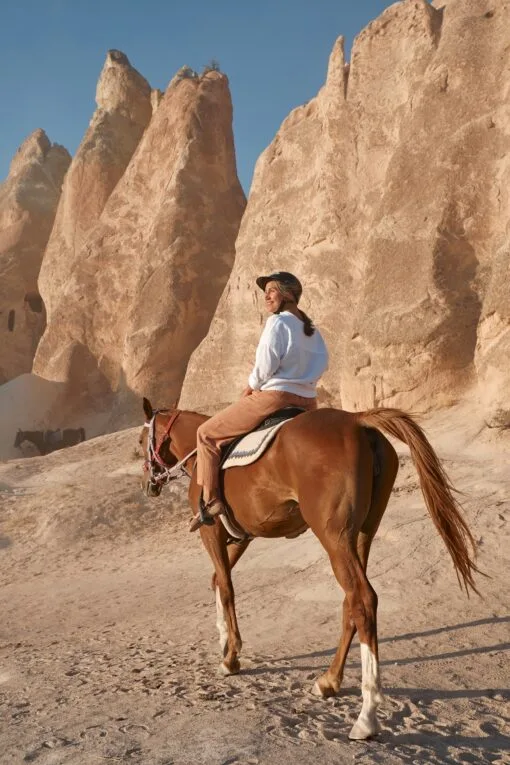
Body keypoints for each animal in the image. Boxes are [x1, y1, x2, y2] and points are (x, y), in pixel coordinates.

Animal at [140, 400, 482, 740]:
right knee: (351, 602)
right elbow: (218, 580)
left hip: (334, 536)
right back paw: (329, 681)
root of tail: (357, 421)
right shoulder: (241, 537)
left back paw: (366, 716)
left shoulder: (210, 532)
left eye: (141, 442)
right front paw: (224, 640)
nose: (148, 484)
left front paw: (231, 657)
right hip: (361, 534)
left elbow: (226, 587)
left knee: (363, 600)